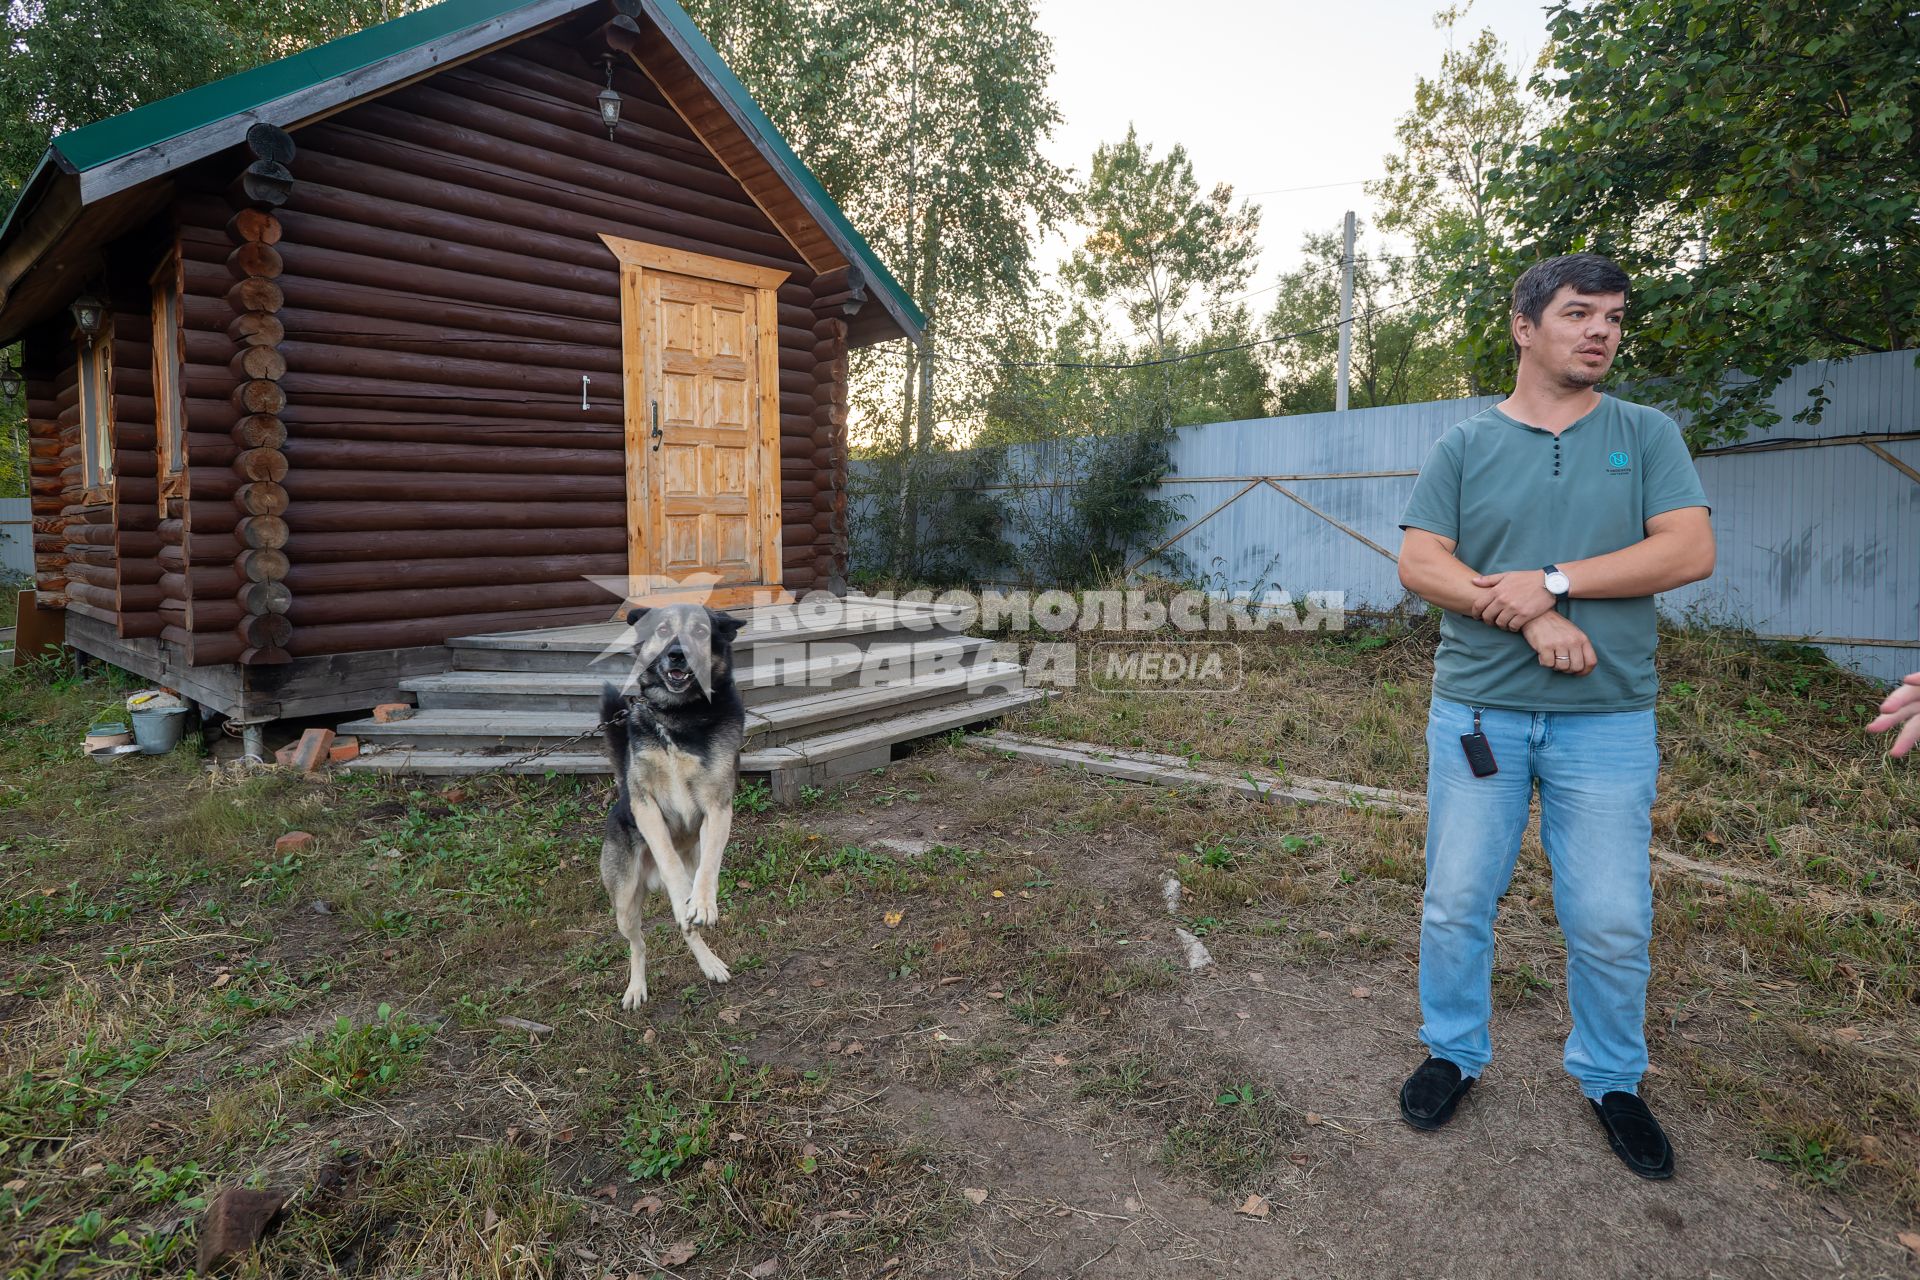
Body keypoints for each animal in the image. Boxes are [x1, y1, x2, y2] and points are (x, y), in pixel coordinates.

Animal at [602, 602, 744, 1013]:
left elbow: (710, 865)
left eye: (700, 631)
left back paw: (710, 964)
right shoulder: (645, 804)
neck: (677, 716)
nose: (677, 654)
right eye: (663, 629)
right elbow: (668, 858)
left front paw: (703, 904)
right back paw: (636, 987)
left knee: (688, 929)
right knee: (638, 945)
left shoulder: (718, 805)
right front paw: (684, 897)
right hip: (624, 903)